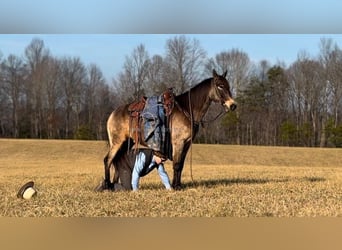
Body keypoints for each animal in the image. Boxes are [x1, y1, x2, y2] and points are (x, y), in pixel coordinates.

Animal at [100, 69, 236, 190]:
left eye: (228, 86)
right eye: (220, 86)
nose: (233, 105)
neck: (187, 110)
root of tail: (114, 113)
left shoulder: (186, 143)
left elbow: (181, 165)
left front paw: (179, 185)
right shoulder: (178, 143)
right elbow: (176, 164)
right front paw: (176, 186)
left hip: (127, 142)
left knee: (116, 160)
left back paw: (115, 184)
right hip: (117, 142)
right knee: (108, 160)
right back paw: (107, 185)